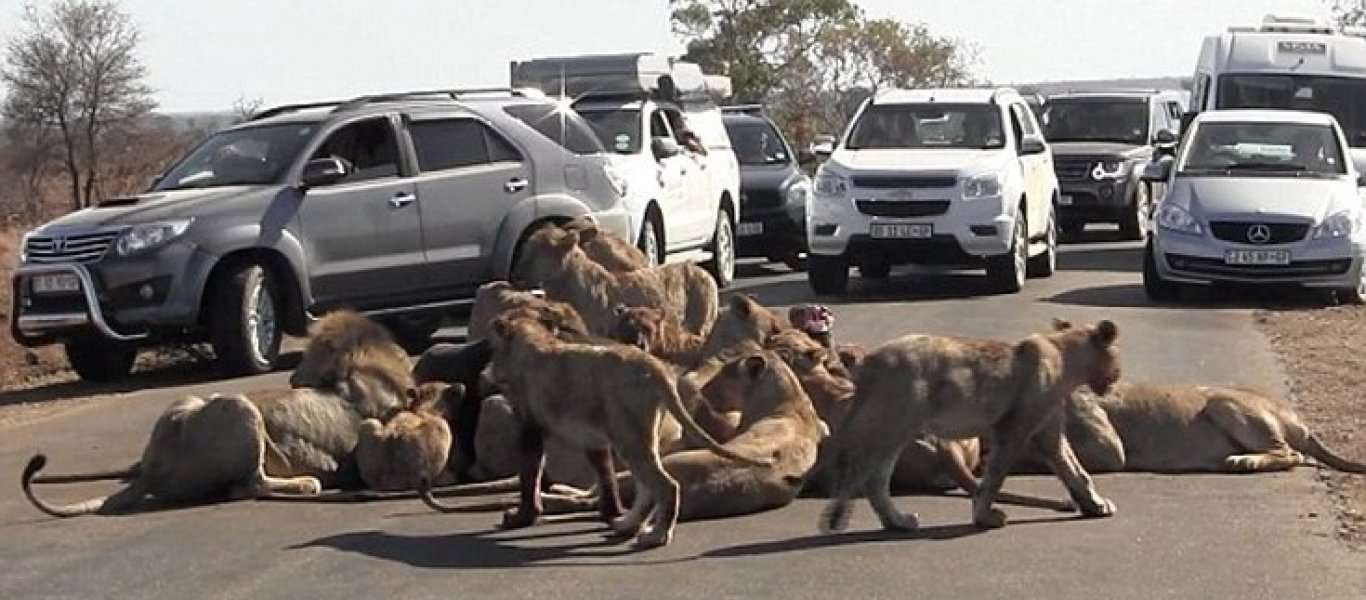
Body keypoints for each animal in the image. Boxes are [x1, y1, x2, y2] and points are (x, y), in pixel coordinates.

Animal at [469, 314, 770, 549]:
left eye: (492, 349)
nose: (486, 372)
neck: (532, 339)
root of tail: (655, 366)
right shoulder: (591, 437)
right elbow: (602, 475)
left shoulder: (529, 427)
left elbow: (529, 474)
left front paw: (521, 517)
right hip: (636, 436)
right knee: (646, 488)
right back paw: (627, 525)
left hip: (629, 437)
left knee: (666, 486)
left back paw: (657, 536)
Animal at [814, 321, 1125, 533]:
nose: (1117, 377)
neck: (1065, 357)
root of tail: (869, 363)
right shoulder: (1013, 429)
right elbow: (995, 475)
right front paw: (984, 516)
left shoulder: (1048, 433)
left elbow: (1076, 471)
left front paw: (1095, 506)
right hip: (893, 425)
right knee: (869, 476)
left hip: (895, 430)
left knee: (875, 480)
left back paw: (898, 522)